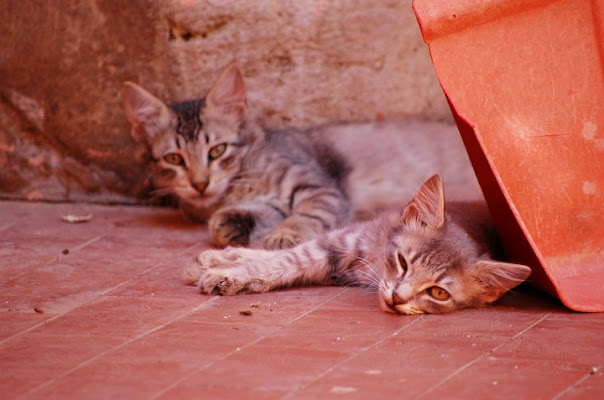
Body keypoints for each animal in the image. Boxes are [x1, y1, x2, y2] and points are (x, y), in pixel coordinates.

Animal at [122, 62, 482, 248]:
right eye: (174, 159)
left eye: (217, 150)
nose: (199, 184)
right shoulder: (268, 202)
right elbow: (239, 217)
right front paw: (232, 224)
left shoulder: (322, 188)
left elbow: (306, 215)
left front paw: (286, 235)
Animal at [186, 175, 532, 316]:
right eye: (403, 262)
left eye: (438, 293)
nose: (397, 298)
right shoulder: (342, 240)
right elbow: (286, 259)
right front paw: (229, 268)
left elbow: (284, 263)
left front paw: (232, 272)